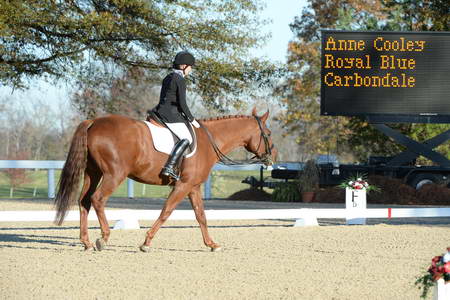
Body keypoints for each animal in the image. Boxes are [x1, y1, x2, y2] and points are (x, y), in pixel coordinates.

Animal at [54, 106, 276, 252]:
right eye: (268, 133)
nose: (272, 157)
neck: (209, 141)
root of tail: (93, 122)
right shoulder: (183, 185)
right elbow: (166, 211)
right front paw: (146, 243)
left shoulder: (193, 187)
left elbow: (201, 216)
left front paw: (212, 244)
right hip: (114, 174)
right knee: (98, 199)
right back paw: (104, 238)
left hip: (93, 173)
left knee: (84, 201)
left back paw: (86, 242)